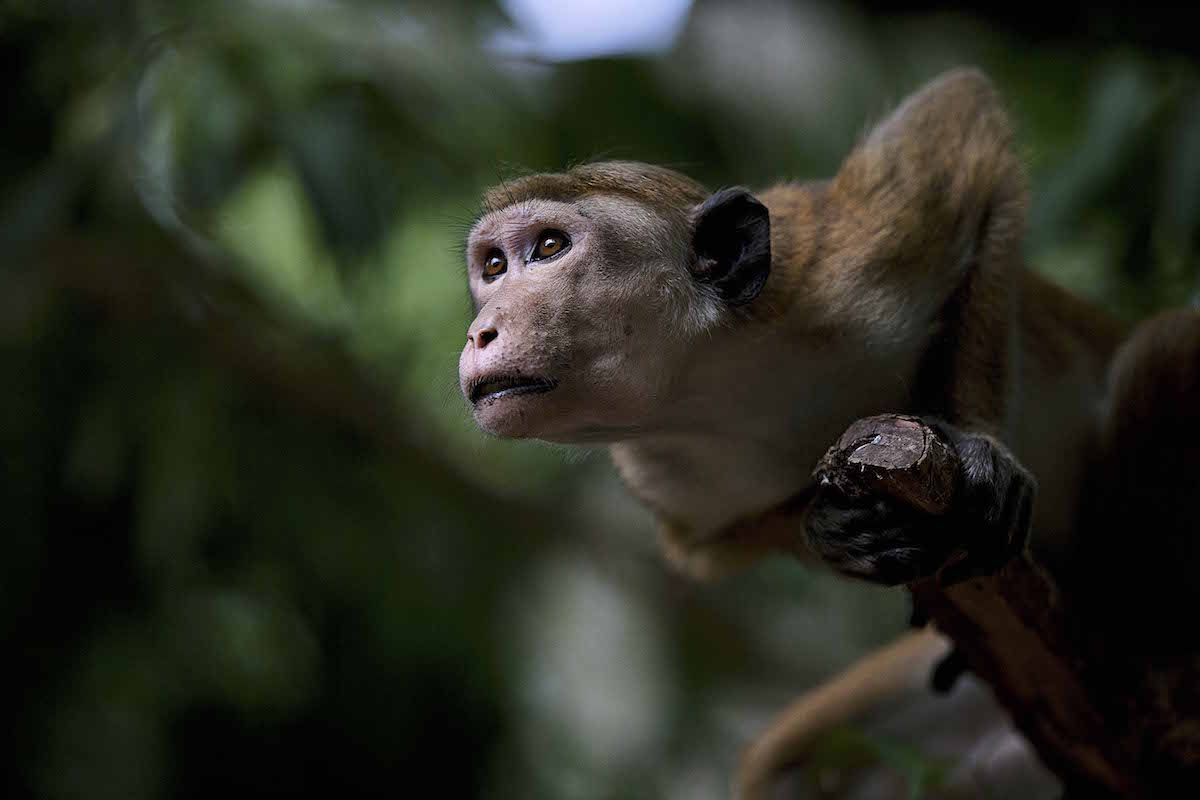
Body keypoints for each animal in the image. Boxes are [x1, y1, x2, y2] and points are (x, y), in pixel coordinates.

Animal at [456, 70, 1200, 800]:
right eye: (492, 267)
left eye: (549, 247)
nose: (479, 332)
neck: (718, 379)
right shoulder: (668, 475)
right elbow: (706, 550)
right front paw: (829, 529)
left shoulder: (848, 263)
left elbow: (959, 121)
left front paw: (983, 450)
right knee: (788, 769)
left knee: (1164, 349)